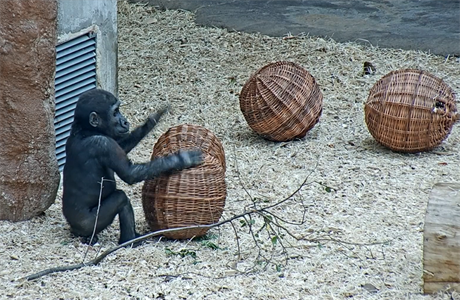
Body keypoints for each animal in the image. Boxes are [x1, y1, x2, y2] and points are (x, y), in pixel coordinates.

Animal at [62, 89, 202, 246]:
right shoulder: (104, 144)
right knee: (120, 198)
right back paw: (129, 240)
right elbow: (130, 173)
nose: (124, 120)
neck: (86, 130)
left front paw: (151, 122)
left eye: (118, 110)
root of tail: (73, 227)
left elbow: (123, 146)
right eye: (115, 112)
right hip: (88, 224)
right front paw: (183, 159)